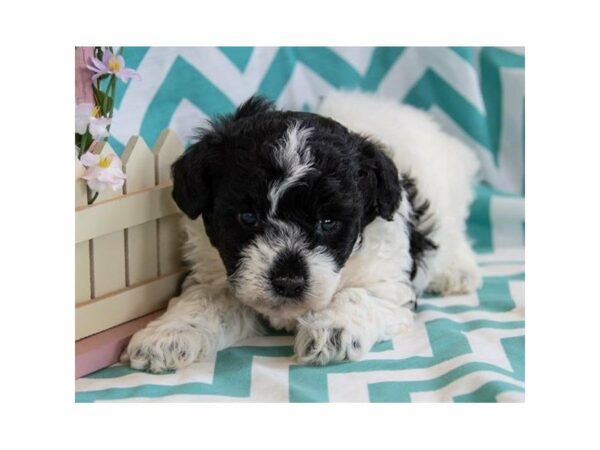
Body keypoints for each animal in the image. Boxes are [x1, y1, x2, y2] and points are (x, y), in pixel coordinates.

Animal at [123, 89, 482, 370]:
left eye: (328, 222)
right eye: (248, 217)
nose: (288, 282)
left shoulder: (387, 282)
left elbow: (359, 295)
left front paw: (333, 330)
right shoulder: (217, 273)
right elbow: (205, 300)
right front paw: (168, 335)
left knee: (453, 233)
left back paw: (458, 271)